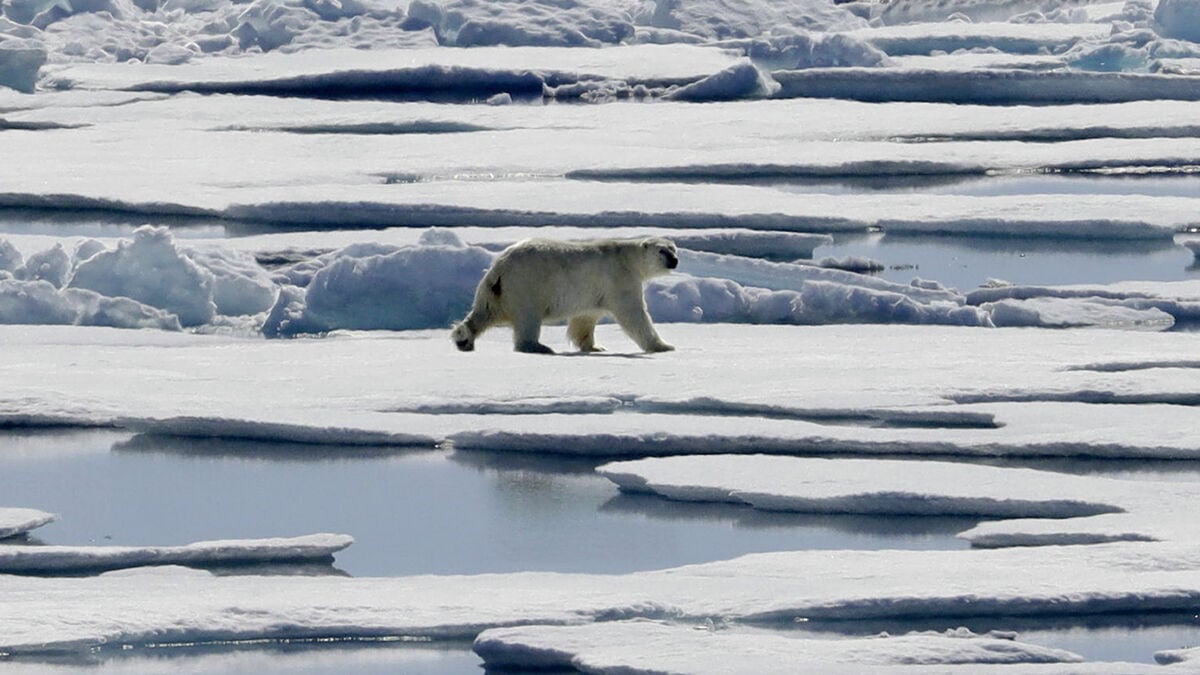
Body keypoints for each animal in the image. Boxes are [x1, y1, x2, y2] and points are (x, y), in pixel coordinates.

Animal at [451, 237, 679, 354]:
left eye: (674, 248)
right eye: (662, 251)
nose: (675, 260)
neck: (628, 258)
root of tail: (500, 266)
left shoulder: (594, 292)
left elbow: (585, 318)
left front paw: (594, 347)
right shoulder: (620, 279)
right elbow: (634, 314)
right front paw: (663, 346)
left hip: (495, 290)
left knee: (485, 312)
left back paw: (464, 339)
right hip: (527, 284)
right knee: (528, 317)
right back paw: (538, 346)